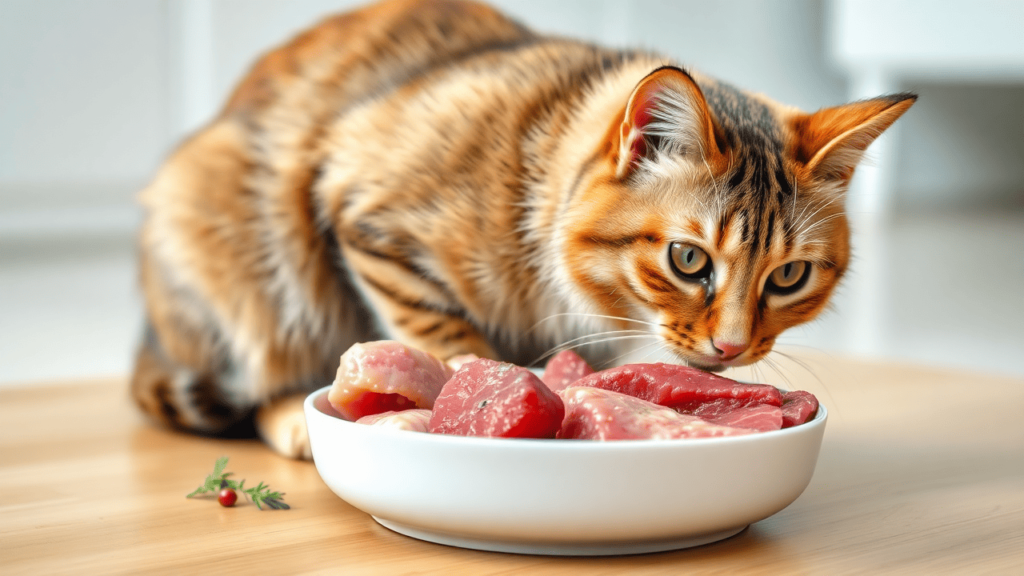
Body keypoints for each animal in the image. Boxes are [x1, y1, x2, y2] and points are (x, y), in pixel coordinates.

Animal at [125, 0, 913, 457]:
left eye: (790, 276)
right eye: (689, 260)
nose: (732, 347)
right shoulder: (367, 213)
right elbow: (443, 331)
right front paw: (474, 386)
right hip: (231, 244)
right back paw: (293, 416)